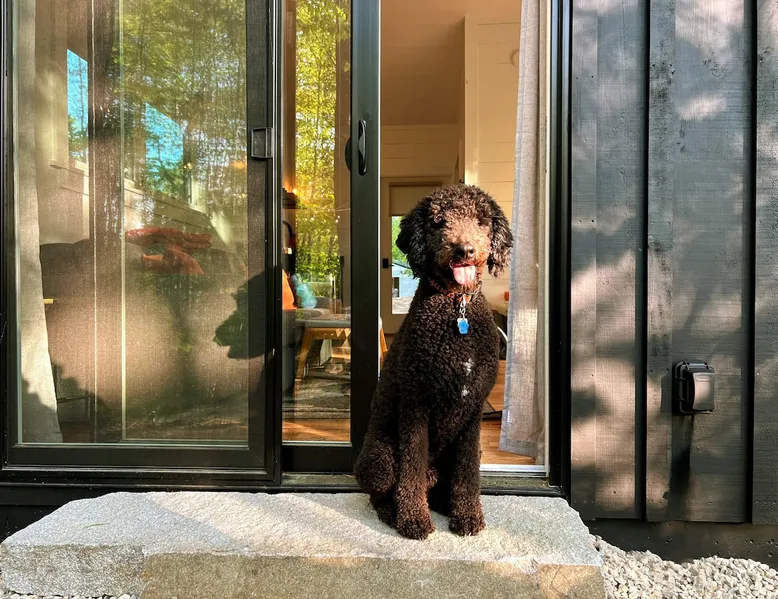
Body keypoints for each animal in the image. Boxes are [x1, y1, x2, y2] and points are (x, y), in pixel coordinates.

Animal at [355, 184, 513, 540]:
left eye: (481, 220)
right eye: (439, 222)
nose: (464, 250)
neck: (457, 307)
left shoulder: (472, 414)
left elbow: (468, 473)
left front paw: (467, 516)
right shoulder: (417, 405)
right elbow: (410, 469)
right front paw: (413, 520)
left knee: (444, 482)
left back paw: (444, 504)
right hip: (381, 459)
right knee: (381, 493)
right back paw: (395, 513)